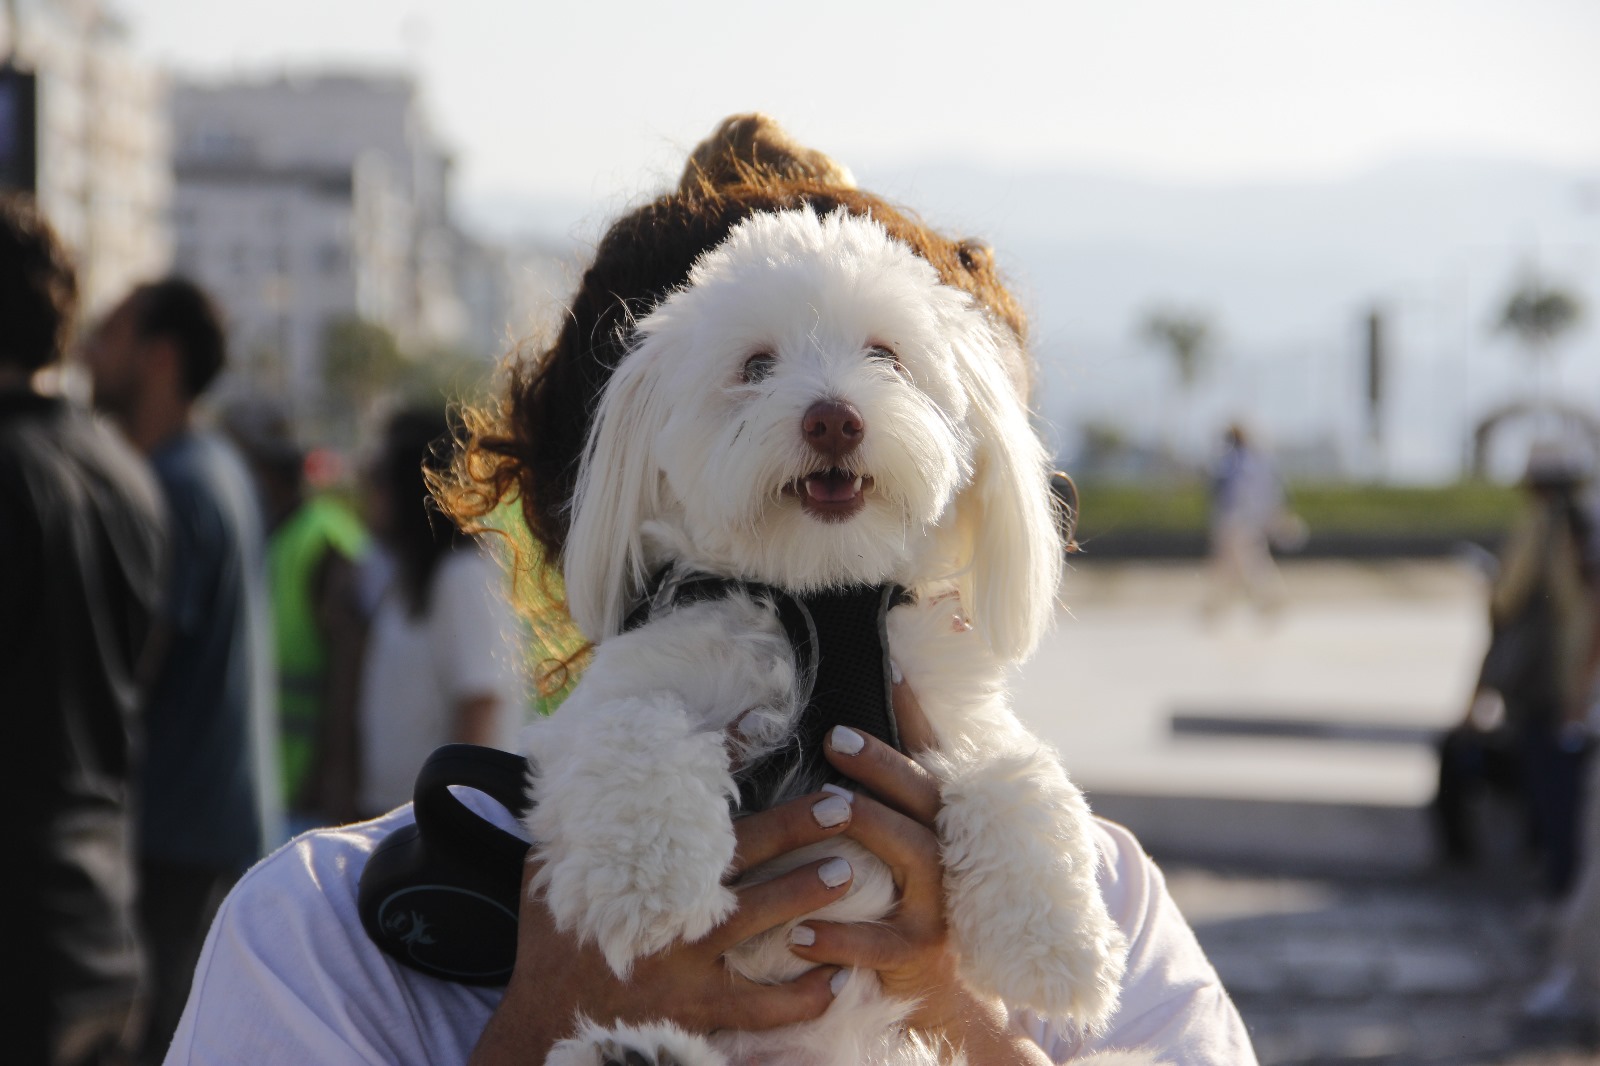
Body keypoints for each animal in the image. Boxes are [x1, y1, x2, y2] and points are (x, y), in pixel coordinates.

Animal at [528, 208, 1152, 1062]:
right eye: (756, 365)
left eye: (886, 355)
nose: (833, 418)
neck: (826, 598)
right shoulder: (607, 707)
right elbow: (636, 727)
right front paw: (645, 886)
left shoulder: (950, 712)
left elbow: (1017, 773)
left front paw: (1058, 946)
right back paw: (635, 1049)